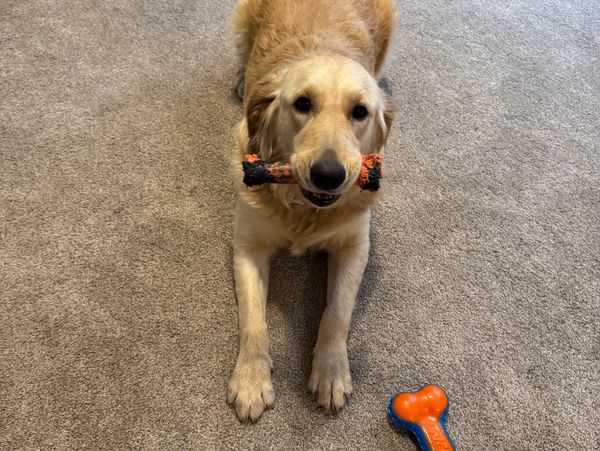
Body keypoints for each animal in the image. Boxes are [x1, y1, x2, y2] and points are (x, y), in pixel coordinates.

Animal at [228, 0, 397, 422]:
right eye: (302, 104)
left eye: (359, 112)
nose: (329, 175)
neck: (303, 209)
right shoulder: (248, 247)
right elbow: (253, 321)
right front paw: (251, 380)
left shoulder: (355, 248)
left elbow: (337, 313)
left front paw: (331, 372)